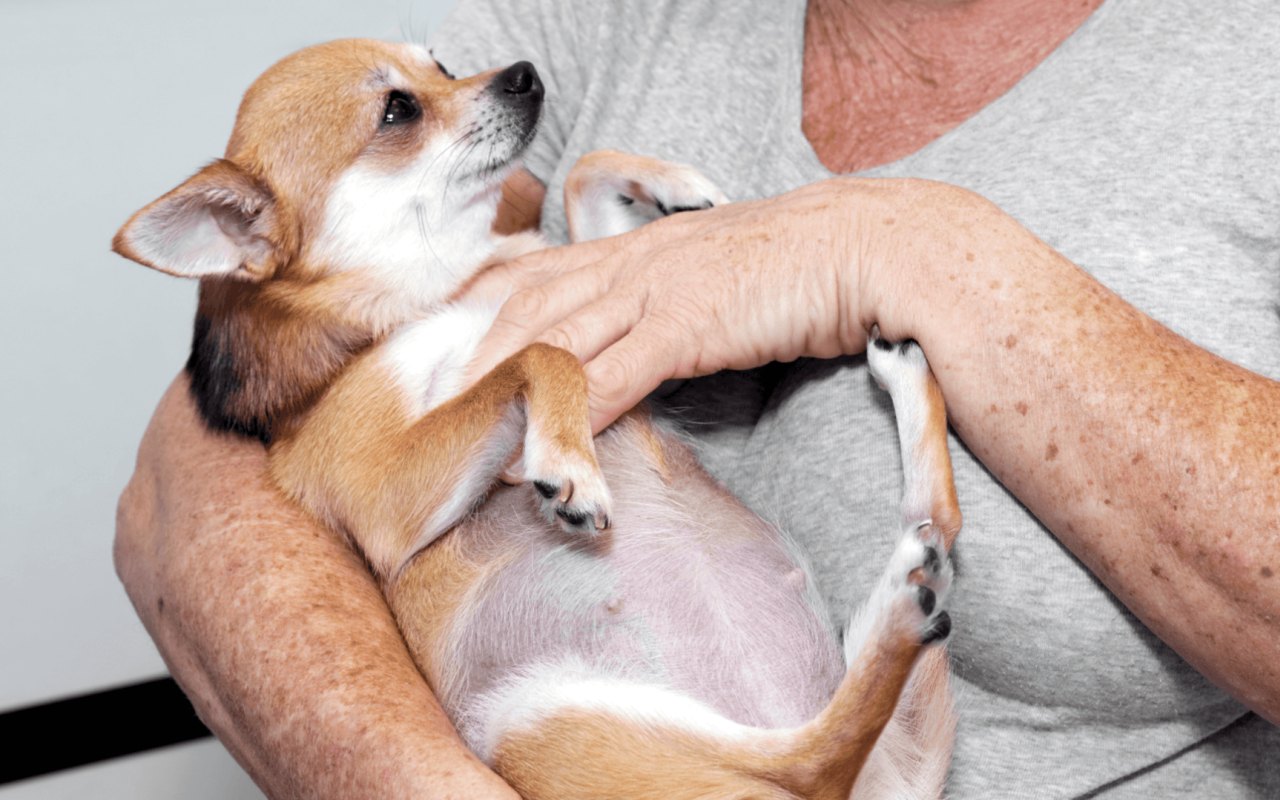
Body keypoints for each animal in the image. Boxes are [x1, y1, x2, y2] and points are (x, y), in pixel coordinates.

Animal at [117, 39, 962, 798]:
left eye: (443, 65)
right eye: (398, 110)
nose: (522, 74)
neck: (457, 280)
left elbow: (583, 178)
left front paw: (672, 187)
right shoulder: (384, 488)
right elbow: (541, 353)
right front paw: (568, 466)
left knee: (937, 531)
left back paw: (905, 391)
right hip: (540, 718)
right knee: (812, 761)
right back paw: (901, 604)